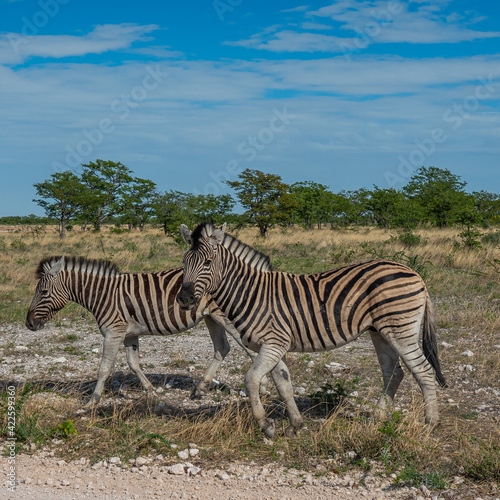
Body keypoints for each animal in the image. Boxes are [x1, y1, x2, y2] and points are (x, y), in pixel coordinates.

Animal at [25, 256, 268, 408]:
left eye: (43, 292)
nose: (28, 323)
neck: (102, 295)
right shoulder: (129, 334)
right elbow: (133, 364)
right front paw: (151, 391)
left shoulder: (113, 332)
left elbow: (104, 369)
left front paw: (92, 401)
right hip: (210, 317)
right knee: (222, 348)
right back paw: (200, 388)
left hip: (227, 317)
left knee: (249, 349)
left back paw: (262, 387)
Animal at [177, 223, 450, 438]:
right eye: (183, 262)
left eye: (208, 263)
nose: (183, 298)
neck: (251, 293)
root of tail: (415, 273)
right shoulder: (275, 346)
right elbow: (284, 384)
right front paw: (295, 425)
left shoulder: (274, 343)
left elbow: (251, 379)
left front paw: (266, 425)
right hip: (379, 331)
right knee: (394, 373)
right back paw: (377, 418)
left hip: (401, 329)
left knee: (424, 371)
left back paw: (430, 424)